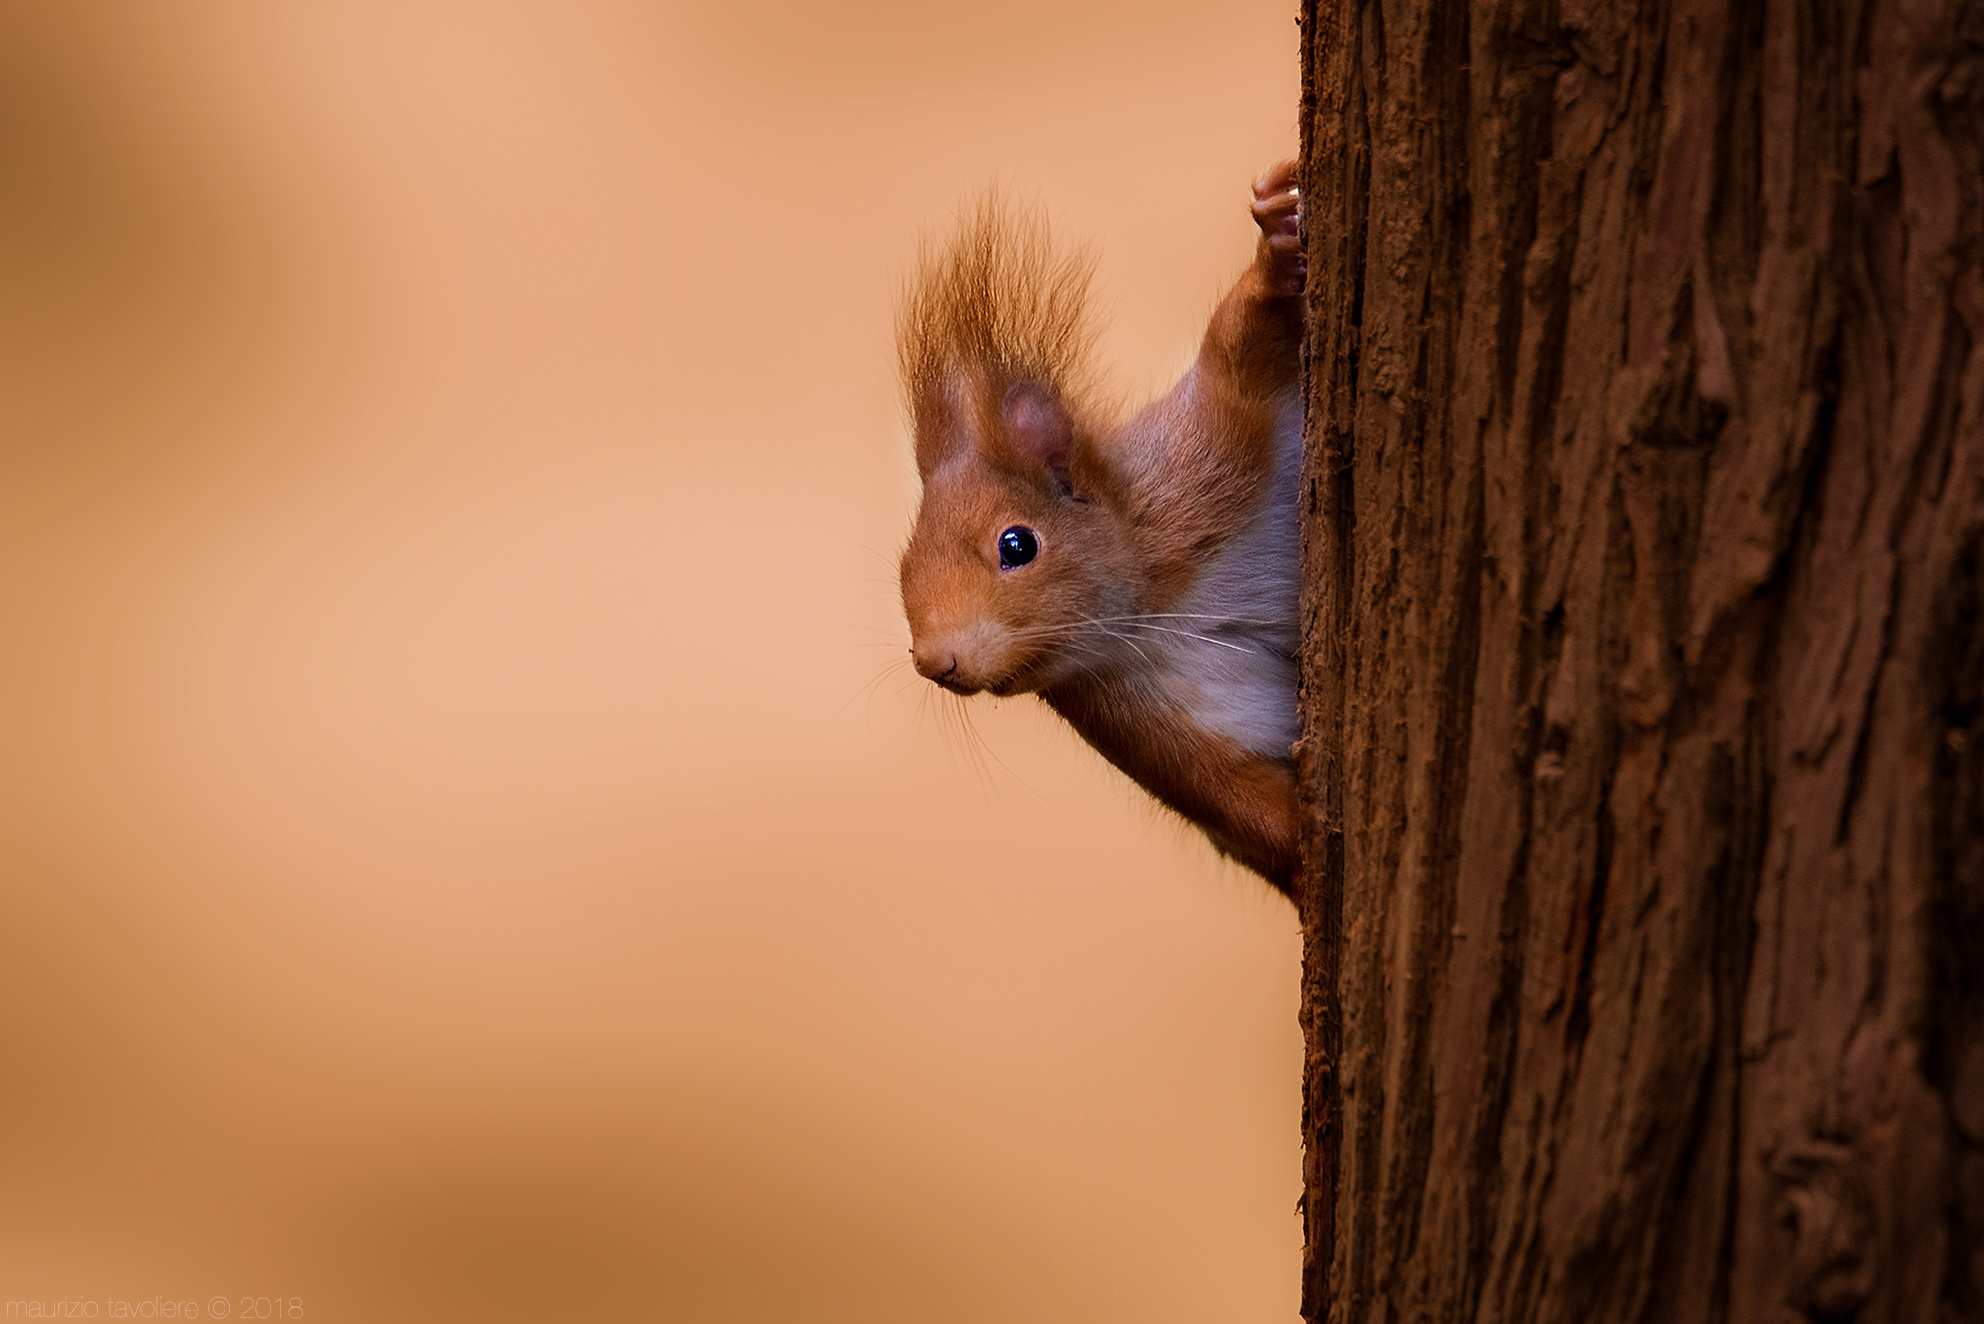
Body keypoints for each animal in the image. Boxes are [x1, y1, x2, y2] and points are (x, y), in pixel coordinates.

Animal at [896, 161, 1303, 896]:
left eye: (1017, 545)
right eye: (901, 571)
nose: (935, 662)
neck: (1146, 615)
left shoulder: (1205, 453)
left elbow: (1238, 351)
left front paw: (1276, 236)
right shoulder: (1142, 723)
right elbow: (1241, 803)